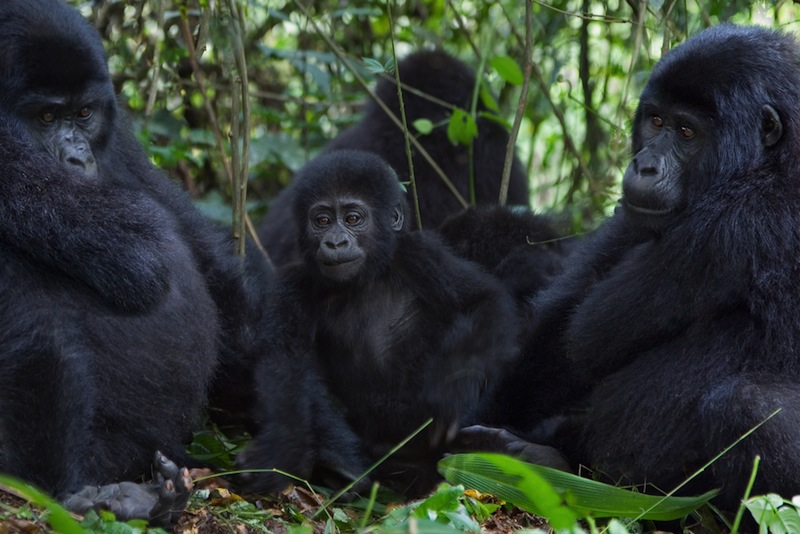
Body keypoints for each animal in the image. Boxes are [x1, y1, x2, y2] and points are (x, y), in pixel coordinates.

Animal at [0, 0, 268, 528]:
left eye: (83, 113)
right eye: (45, 117)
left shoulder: (119, 138)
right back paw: (76, 495)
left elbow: (200, 252)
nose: (77, 160)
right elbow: (138, 251)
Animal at [238, 150, 520, 498]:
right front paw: (281, 451)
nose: (335, 242)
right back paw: (343, 468)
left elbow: (482, 300)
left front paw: (453, 388)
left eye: (352, 219)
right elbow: (285, 364)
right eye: (322, 221)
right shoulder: (292, 285)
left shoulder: (421, 253)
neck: (365, 279)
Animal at [482, 25, 800, 516]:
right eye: (655, 121)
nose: (644, 165)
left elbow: (588, 335)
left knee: (751, 409)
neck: (773, 159)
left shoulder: (740, 221)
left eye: (687, 131)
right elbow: (560, 322)